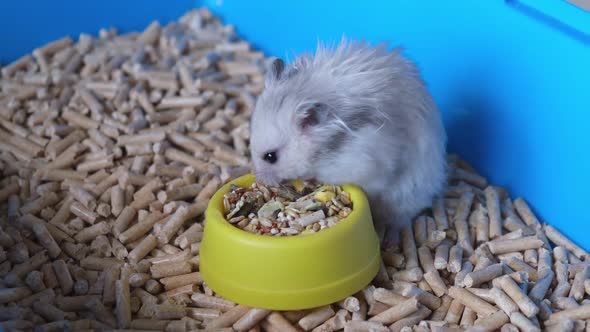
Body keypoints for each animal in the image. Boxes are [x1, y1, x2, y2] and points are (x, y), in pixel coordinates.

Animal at [250, 39, 448, 244]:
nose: (260, 180)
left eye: (270, 156)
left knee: (400, 219)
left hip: (406, 195)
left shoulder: (364, 163)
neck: (322, 153)